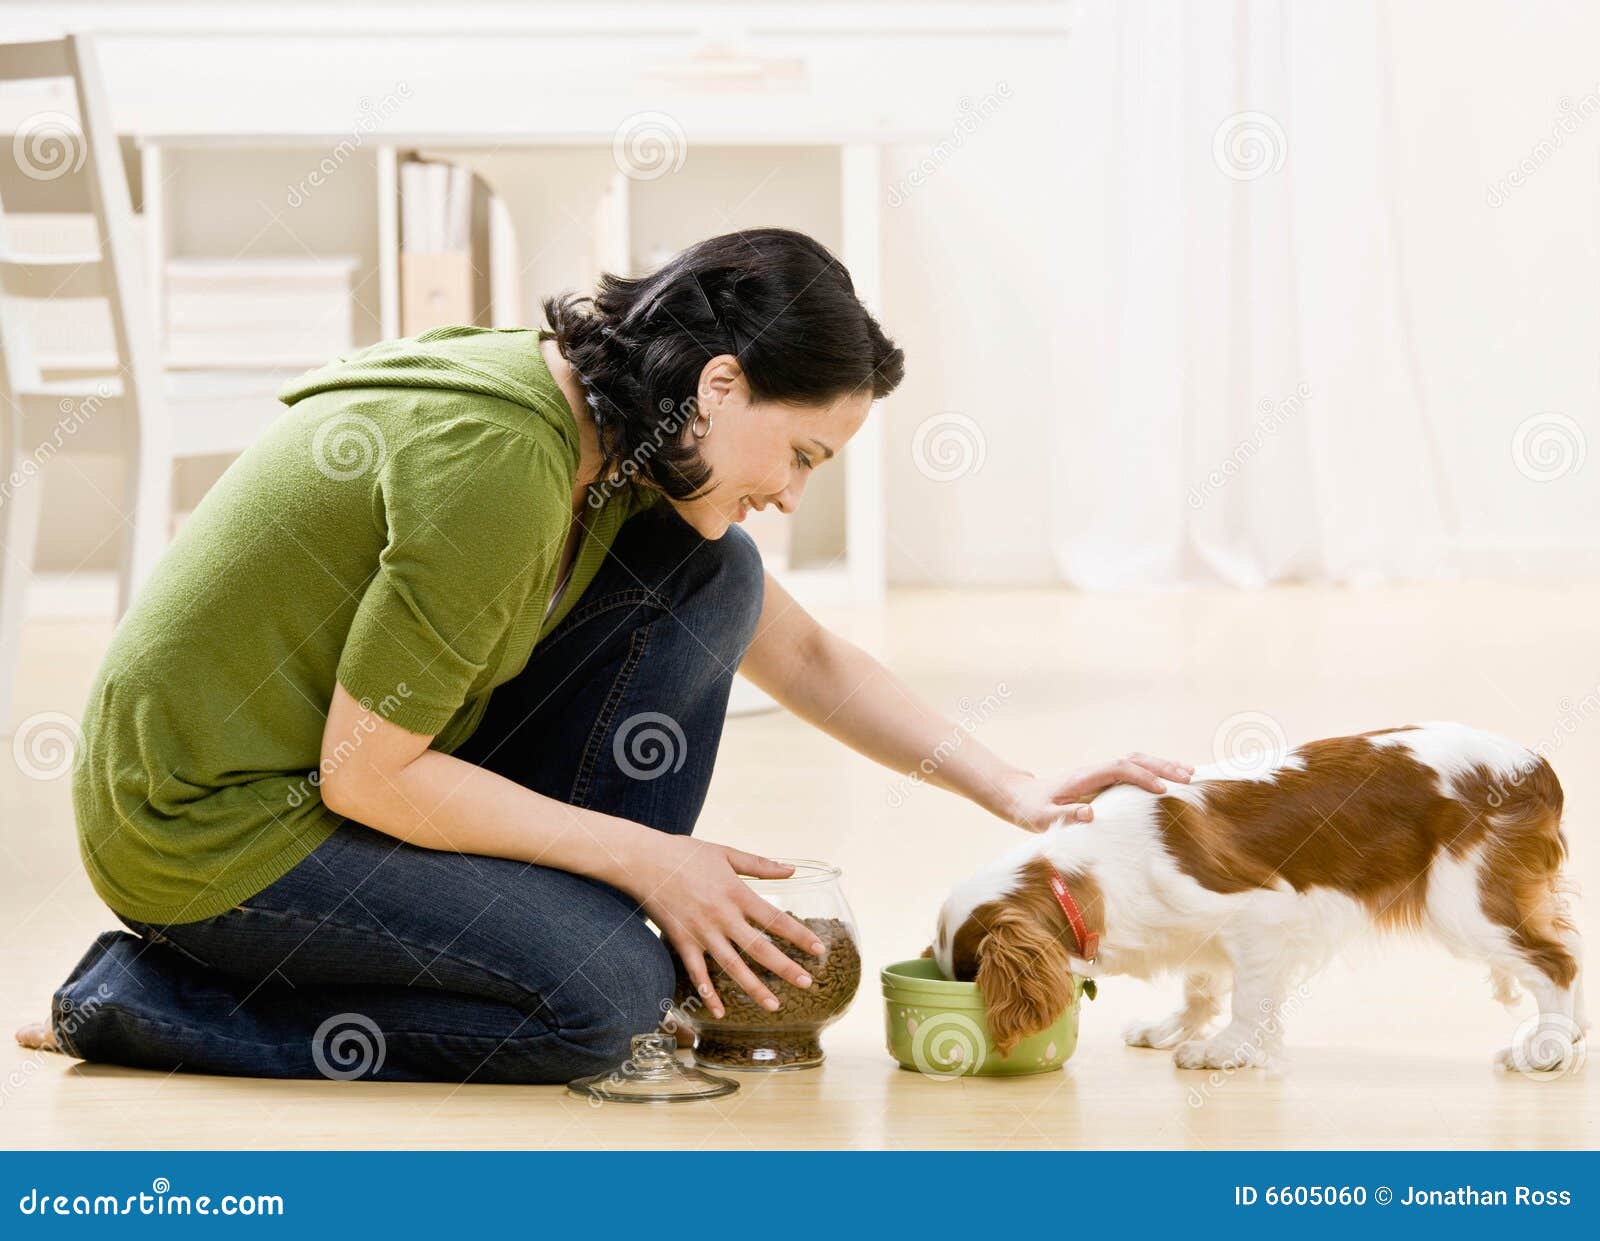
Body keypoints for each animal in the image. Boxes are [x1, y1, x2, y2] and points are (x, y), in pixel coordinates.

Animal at [934, 722, 1580, 1068]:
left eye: (969, 976)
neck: (1086, 870)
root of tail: (1536, 765)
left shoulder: (1262, 915)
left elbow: (1247, 997)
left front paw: (1224, 1050)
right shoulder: (1202, 929)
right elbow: (1200, 985)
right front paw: (1174, 1028)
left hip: (1463, 905)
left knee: (1558, 963)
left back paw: (1548, 1048)